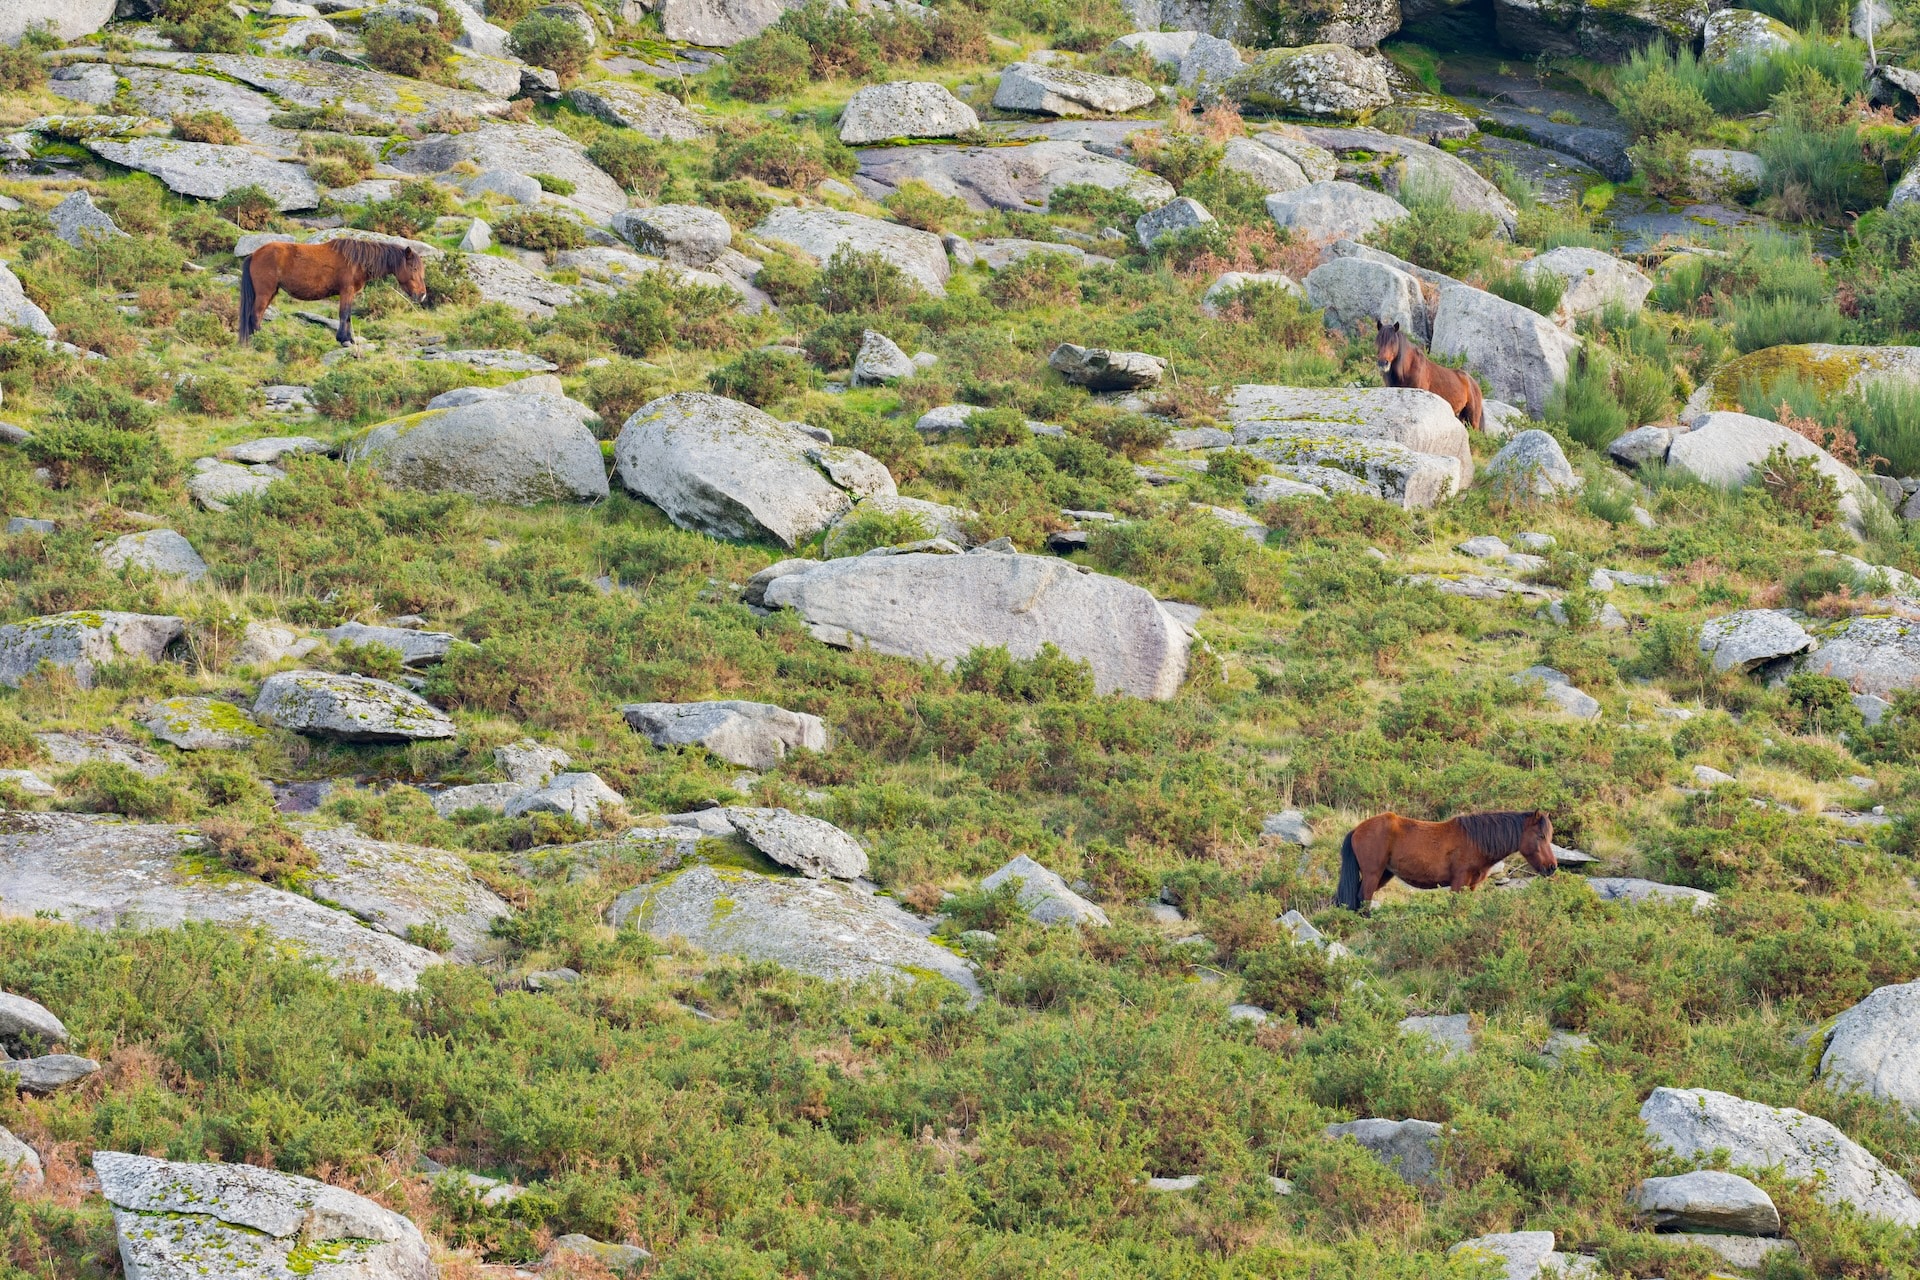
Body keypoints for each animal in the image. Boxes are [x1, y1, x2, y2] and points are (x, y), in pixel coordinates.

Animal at [239, 239, 427, 346]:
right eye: (414, 268)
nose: (422, 295)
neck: (356, 261)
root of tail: (254, 254)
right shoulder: (346, 291)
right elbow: (344, 314)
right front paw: (344, 339)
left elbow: (348, 316)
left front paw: (349, 339)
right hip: (265, 293)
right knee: (255, 316)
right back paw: (261, 340)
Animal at [1336, 810, 1556, 910]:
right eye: (1540, 836)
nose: (1552, 867)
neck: (1475, 841)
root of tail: (1357, 829)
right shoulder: (1458, 882)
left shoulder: (1471, 886)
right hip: (1373, 874)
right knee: (1364, 898)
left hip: (1383, 874)